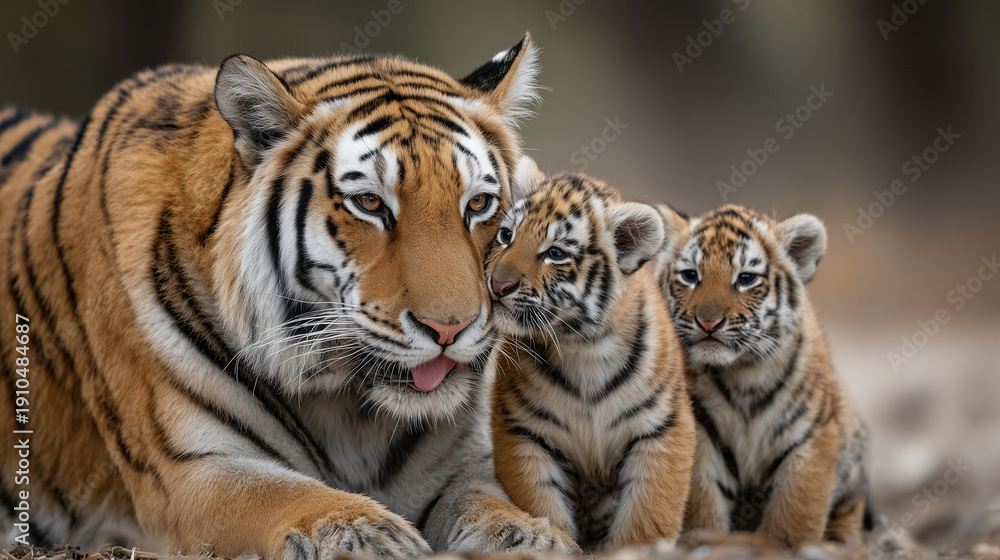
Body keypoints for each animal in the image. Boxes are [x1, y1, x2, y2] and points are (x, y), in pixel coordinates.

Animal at [0, 35, 581, 558]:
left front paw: (528, 537)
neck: (350, 408)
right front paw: (368, 535)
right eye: (370, 203)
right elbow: (283, 495)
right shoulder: (189, 473)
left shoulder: (457, 463)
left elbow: (490, 503)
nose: (449, 329)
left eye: (478, 204)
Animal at [485, 168, 696, 551]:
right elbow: (541, 506)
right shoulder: (522, 431)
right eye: (507, 236)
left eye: (554, 253)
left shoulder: (663, 428)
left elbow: (647, 516)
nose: (497, 285)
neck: (582, 345)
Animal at [653, 203, 873, 548]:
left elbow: (796, 512)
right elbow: (703, 499)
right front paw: (706, 539)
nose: (708, 322)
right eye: (690, 275)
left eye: (746, 278)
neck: (744, 372)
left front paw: (782, 545)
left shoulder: (814, 434)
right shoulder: (703, 432)